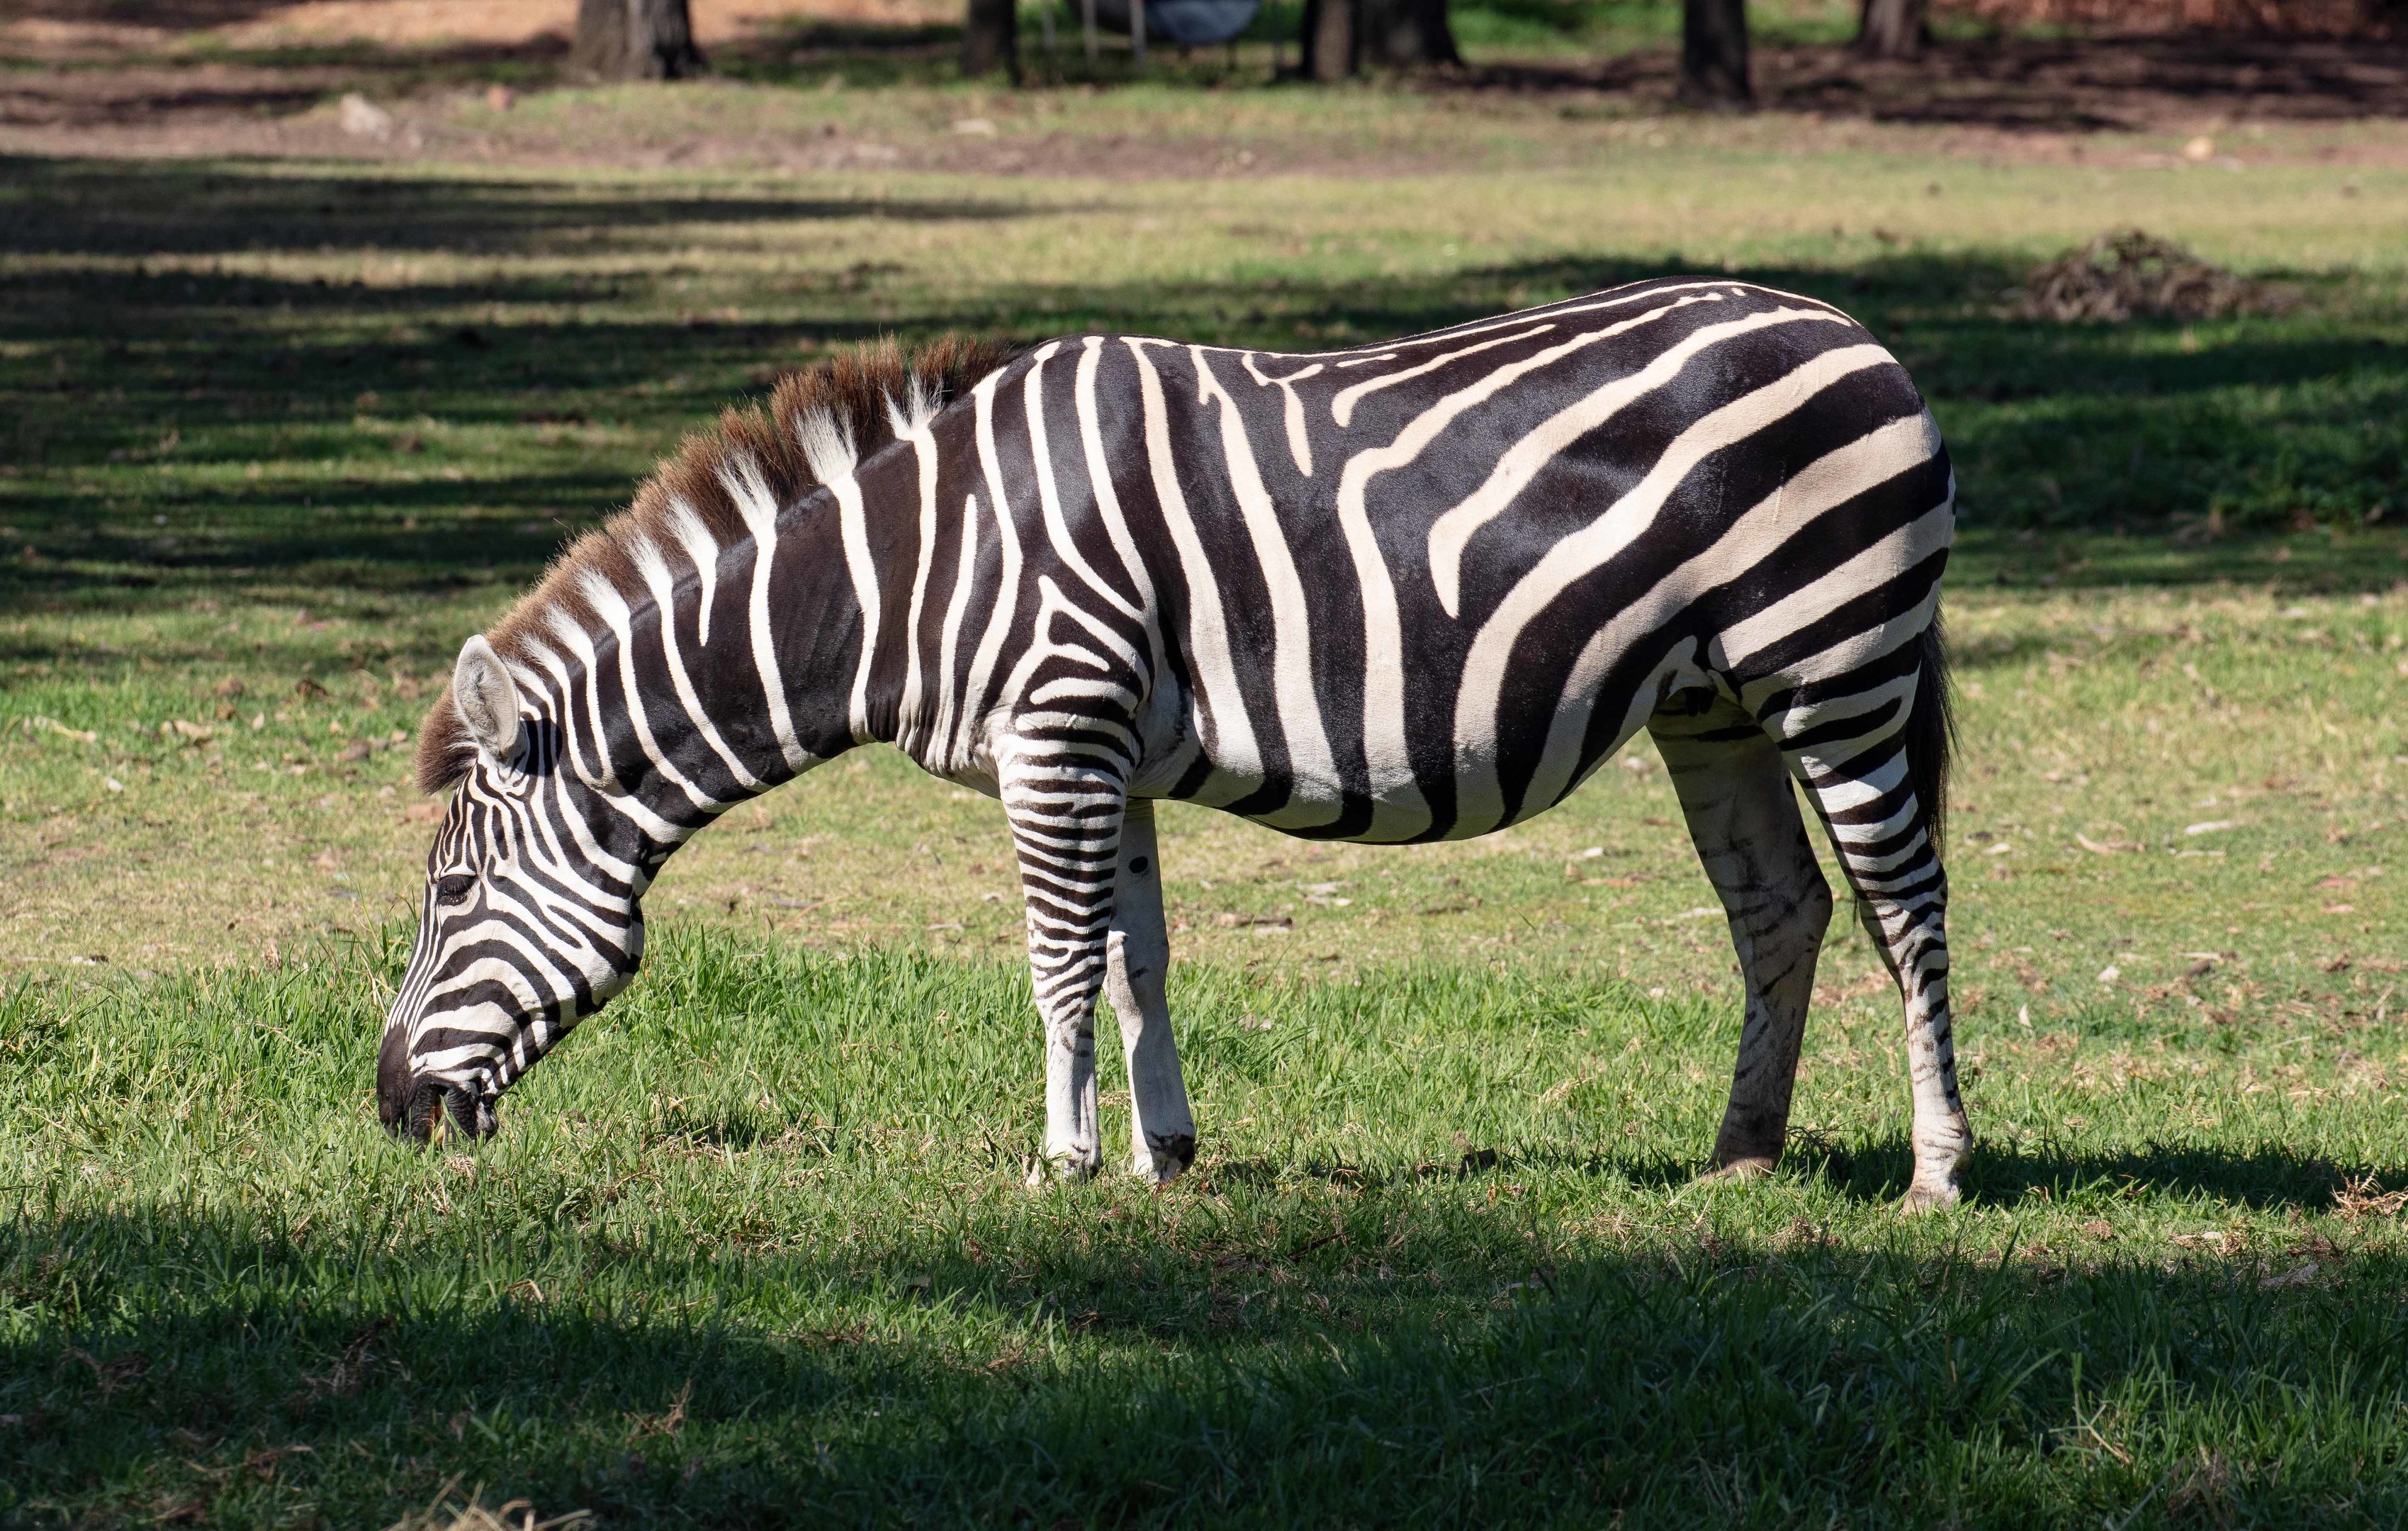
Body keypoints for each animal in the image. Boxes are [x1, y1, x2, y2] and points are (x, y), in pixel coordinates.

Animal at [381, 279, 1972, 1209]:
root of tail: (1857, 334)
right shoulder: (1108, 757)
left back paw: (1936, 1175)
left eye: (448, 897)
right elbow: (1138, 960)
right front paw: (1164, 1159)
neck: (915, 572)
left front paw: (1064, 1162)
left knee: (1905, 908)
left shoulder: (1056, 730)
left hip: (1836, 662)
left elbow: (1058, 963)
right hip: (1714, 705)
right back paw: (1738, 1162)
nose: (391, 1109)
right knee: (1782, 911)